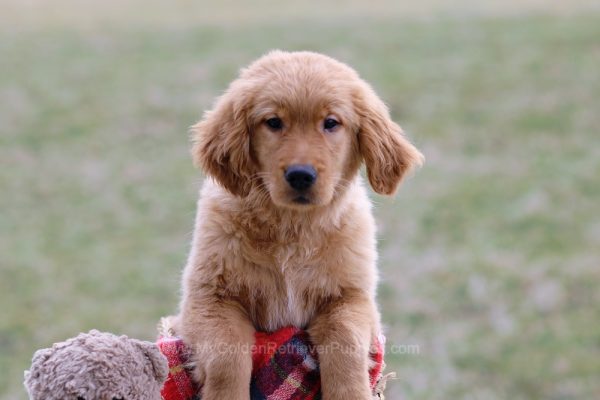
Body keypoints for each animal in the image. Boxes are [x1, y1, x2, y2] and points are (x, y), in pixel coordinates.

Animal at [177, 50, 422, 400]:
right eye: (273, 122)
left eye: (331, 123)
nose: (301, 175)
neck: (292, 228)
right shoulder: (208, 298)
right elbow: (227, 356)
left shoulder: (352, 297)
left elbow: (345, 342)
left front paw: (350, 393)